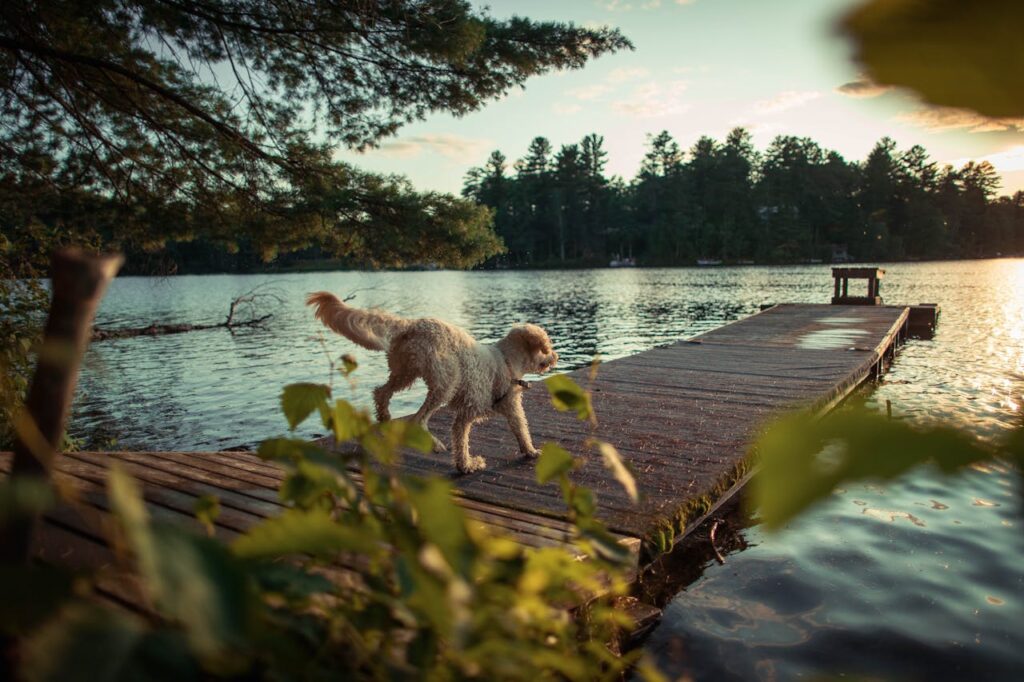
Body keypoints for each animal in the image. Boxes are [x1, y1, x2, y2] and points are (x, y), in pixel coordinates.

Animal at [305, 292, 561, 473]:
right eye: (546, 346)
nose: (555, 356)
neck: (506, 360)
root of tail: (411, 324)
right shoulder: (466, 414)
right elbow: (462, 442)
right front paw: (467, 465)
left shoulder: (510, 408)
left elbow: (521, 430)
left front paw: (529, 451)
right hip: (444, 382)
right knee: (418, 419)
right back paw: (434, 443)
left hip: (404, 372)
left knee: (381, 393)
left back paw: (385, 418)